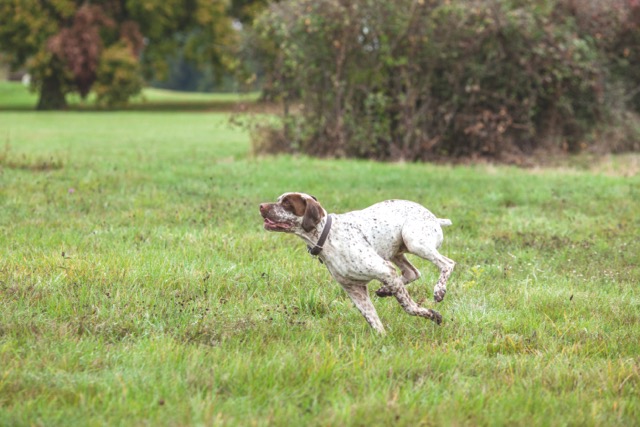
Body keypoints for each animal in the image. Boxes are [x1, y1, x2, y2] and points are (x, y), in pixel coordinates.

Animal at [260, 192, 456, 336]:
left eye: (287, 203)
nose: (261, 206)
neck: (328, 236)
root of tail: (435, 218)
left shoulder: (385, 270)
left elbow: (409, 307)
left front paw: (433, 315)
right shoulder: (354, 290)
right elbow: (373, 319)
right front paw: (382, 339)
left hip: (414, 242)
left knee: (447, 263)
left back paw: (439, 290)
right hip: (396, 252)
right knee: (412, 273)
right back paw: (385, 290)